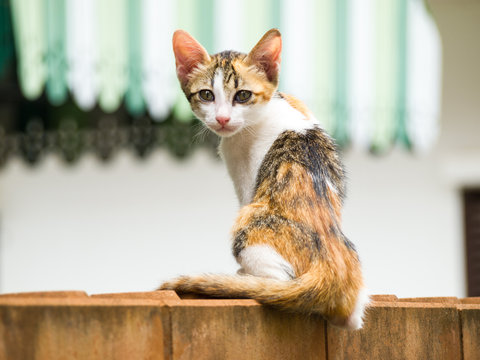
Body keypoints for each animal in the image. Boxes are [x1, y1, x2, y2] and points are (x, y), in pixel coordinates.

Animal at [159, 28, 370, 330]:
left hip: (247, 226)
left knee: (280, 282)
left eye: (243, 95)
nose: (222, 119)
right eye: (207, 95)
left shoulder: (247, 181)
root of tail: (331, 269)